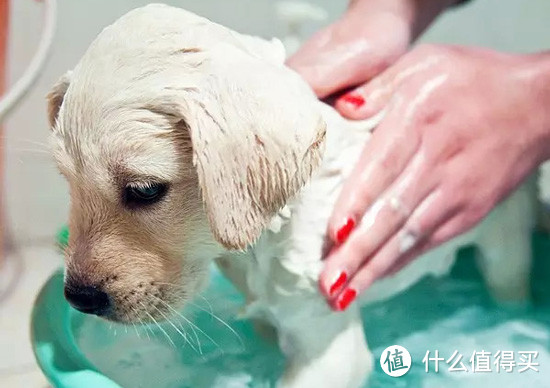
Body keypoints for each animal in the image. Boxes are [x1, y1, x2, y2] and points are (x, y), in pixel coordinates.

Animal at [49, 4, 536, 386]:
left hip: (505, 240)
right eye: (66, 180)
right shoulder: (271, 315)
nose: (78, 298)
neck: (262, 241)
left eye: (144, 191)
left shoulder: (329, 347)